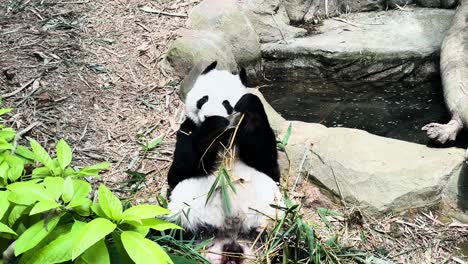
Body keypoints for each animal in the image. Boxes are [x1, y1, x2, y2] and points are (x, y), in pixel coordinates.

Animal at [166, 60, 284, 262]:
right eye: (203, 99)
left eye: (226, 103)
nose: (208, 115)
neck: (224, 138)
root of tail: (231, 242)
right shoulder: (187, 130)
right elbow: (179, 171)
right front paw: (212, 124)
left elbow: (268, 164)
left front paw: (249, 104)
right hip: (182, 221)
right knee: (162, 235)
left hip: (274, 225)